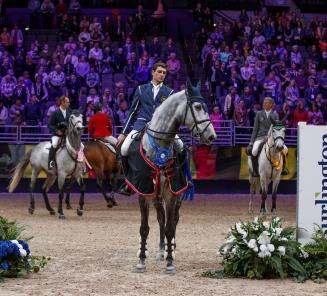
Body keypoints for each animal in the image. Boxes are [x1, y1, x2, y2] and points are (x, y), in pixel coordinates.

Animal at [127, 80, 218, 274]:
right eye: (198, 107)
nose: (211, 136)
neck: (158, 146)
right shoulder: (144, 191)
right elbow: (145, 228)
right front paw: (141, 260)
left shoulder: (171, 193)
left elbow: (170, 227)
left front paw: (170, 262)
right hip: (156, 196)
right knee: (161, 218)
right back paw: (161, 250)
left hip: (178, 195)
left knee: (173, 219)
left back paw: (171, 249)